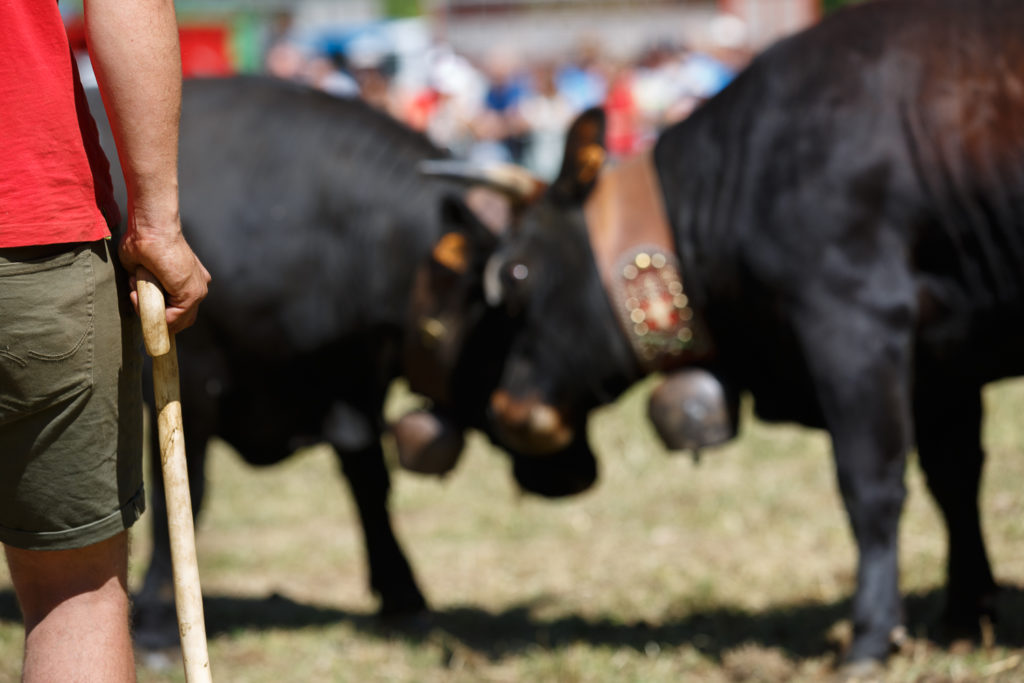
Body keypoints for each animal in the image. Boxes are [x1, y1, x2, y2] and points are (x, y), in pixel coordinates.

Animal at [88, 77, 598, 651]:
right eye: (516, 299)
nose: (577, 471)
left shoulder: (352, 380)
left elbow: (369, 479)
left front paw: (403, 596)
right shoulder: (190, 378)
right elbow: (184, 491)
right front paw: (157, 619)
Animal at [421, 0, 1024, 667]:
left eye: (516, 273)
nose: (508, 408)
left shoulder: (854, 325)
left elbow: (870, 484)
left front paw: (869, 636)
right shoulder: (944, 360)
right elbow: (955, 480)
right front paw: (965, 614)